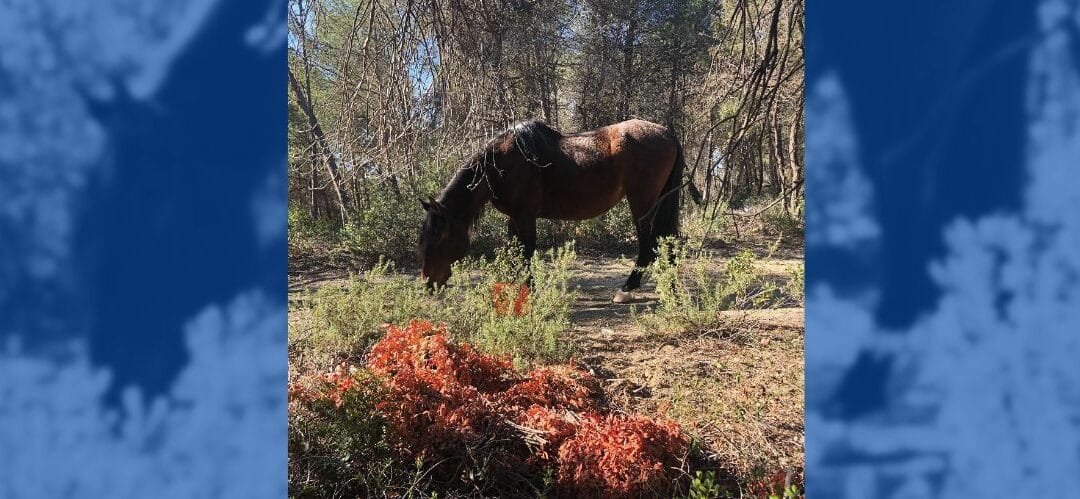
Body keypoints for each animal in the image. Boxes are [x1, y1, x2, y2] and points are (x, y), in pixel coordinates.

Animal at [418, 119, 683, 301]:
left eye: (438, 239)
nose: (428, 285)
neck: (498, 167)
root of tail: (667, 133)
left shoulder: (525, 215)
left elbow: (526, 252)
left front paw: (530, 290)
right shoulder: (514, 218)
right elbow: (515, 251)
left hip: (642, 203)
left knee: (648, 242)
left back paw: (629, 289)